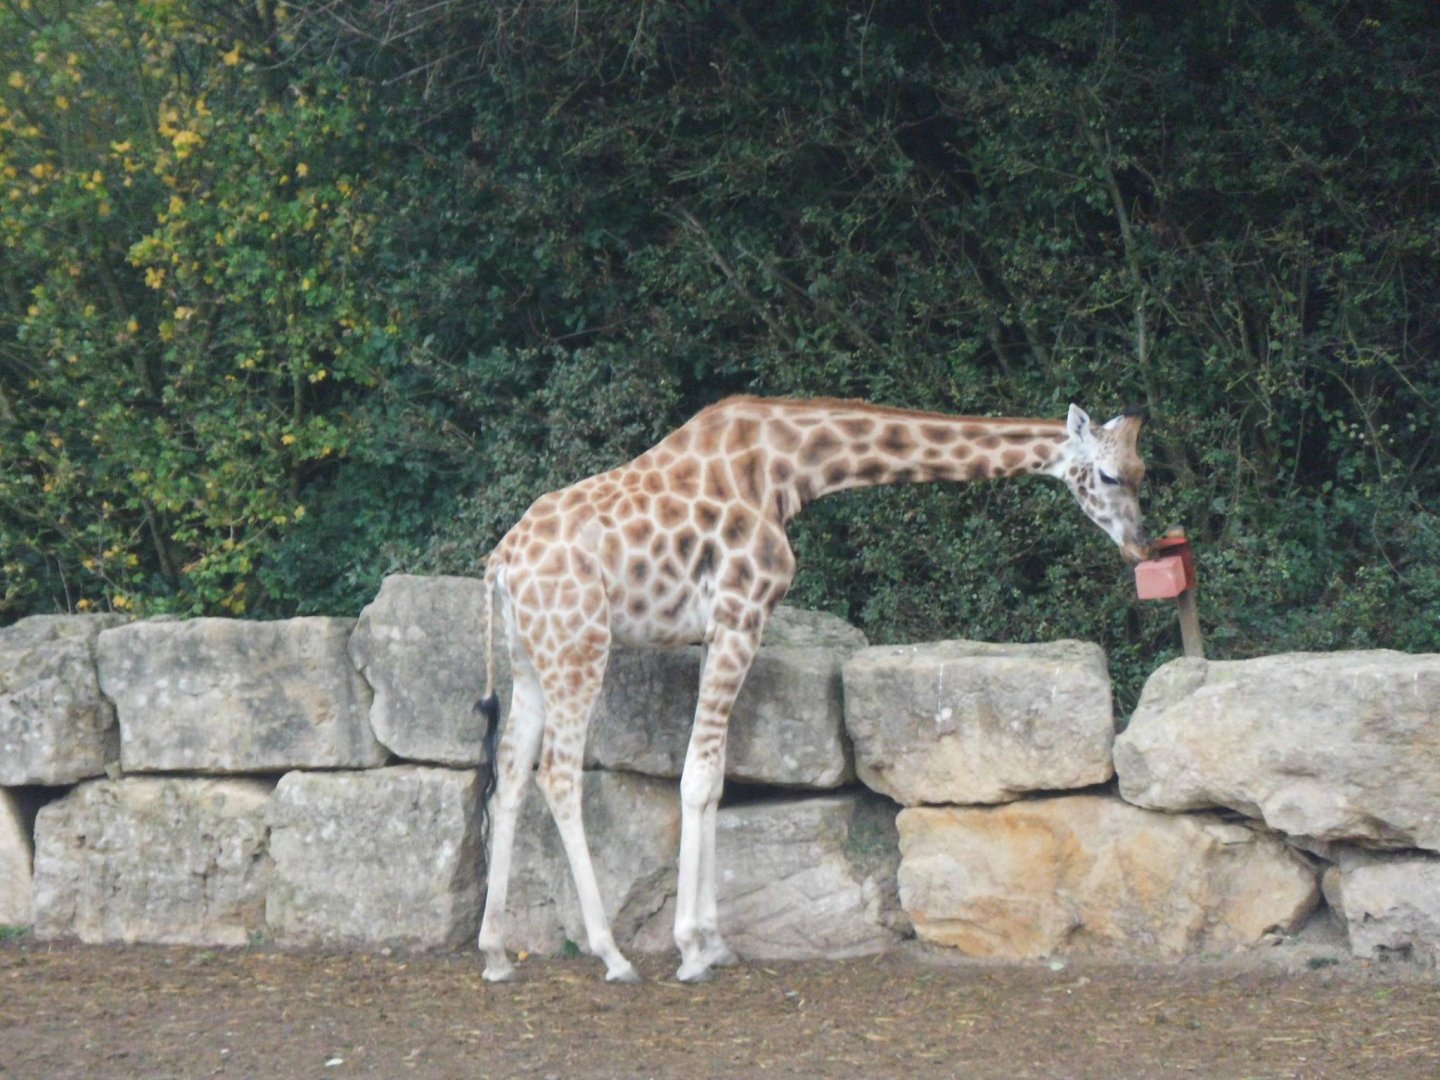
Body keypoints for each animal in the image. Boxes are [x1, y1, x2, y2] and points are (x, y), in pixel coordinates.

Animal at [474, 395, 1152, 984]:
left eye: (1144, 473)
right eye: (1111, 476)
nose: (1140, 546)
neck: (786, 468)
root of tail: (501, 564)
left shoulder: (722, 630)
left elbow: (714, 779)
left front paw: (714, 942)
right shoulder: (740, 616)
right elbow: (698, 777)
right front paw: (690, 950)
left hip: (530, 658)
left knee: (509, 774)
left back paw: (496, 953)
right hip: (579, 646)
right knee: (557, 773)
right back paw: (612, 956)